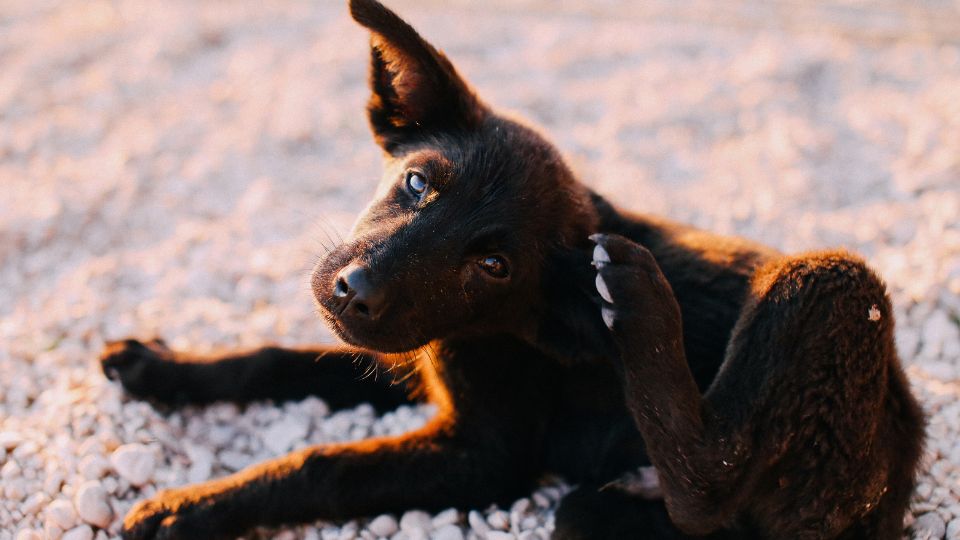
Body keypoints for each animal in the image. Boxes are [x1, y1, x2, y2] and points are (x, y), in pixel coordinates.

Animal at [101, 2, 928, 536]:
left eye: (494, 265)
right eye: (417, 183)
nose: (352, 291)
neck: (493, 328)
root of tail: (903, 447)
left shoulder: (484, 456)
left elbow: (326, 465)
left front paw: (190, 508)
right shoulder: (408, 358)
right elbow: (276, 359)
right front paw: (160, 367)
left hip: (828, 285)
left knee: (710, 485)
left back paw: (638, 304)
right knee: (620, 514)